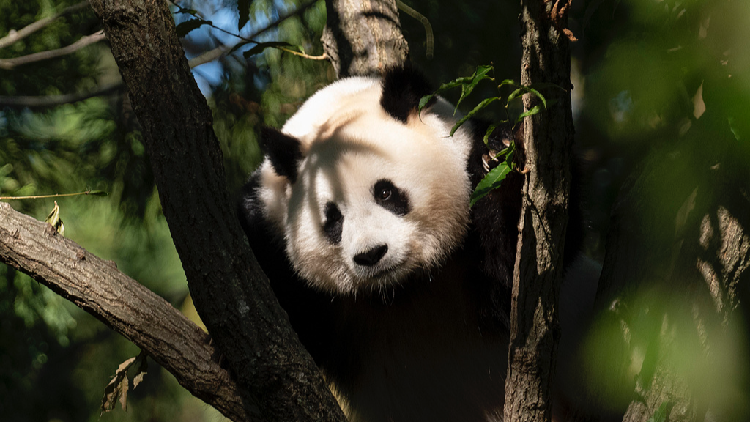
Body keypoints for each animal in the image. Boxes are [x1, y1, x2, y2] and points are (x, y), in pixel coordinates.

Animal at [239, 66, 534, 422]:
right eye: (333, 218)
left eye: (384, 192)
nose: (371, 254)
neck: (402, 289)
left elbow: (516, 293)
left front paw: (498, 153)